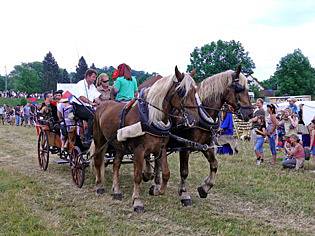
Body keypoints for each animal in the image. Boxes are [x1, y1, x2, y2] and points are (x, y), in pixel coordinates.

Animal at [91, 66, 198, 212]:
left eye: (195, 90)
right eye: (181, 91)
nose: (193, 120)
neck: (151, 117)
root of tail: (101, 105)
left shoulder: (161, 149)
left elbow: (165, 173)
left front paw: (157, 190)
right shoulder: (139, 150)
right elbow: (137, 176)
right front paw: (137, 201)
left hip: (119, 145)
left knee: (116, 164)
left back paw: (117, 190)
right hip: (99, 140)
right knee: (97, 161)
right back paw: (99, 186)